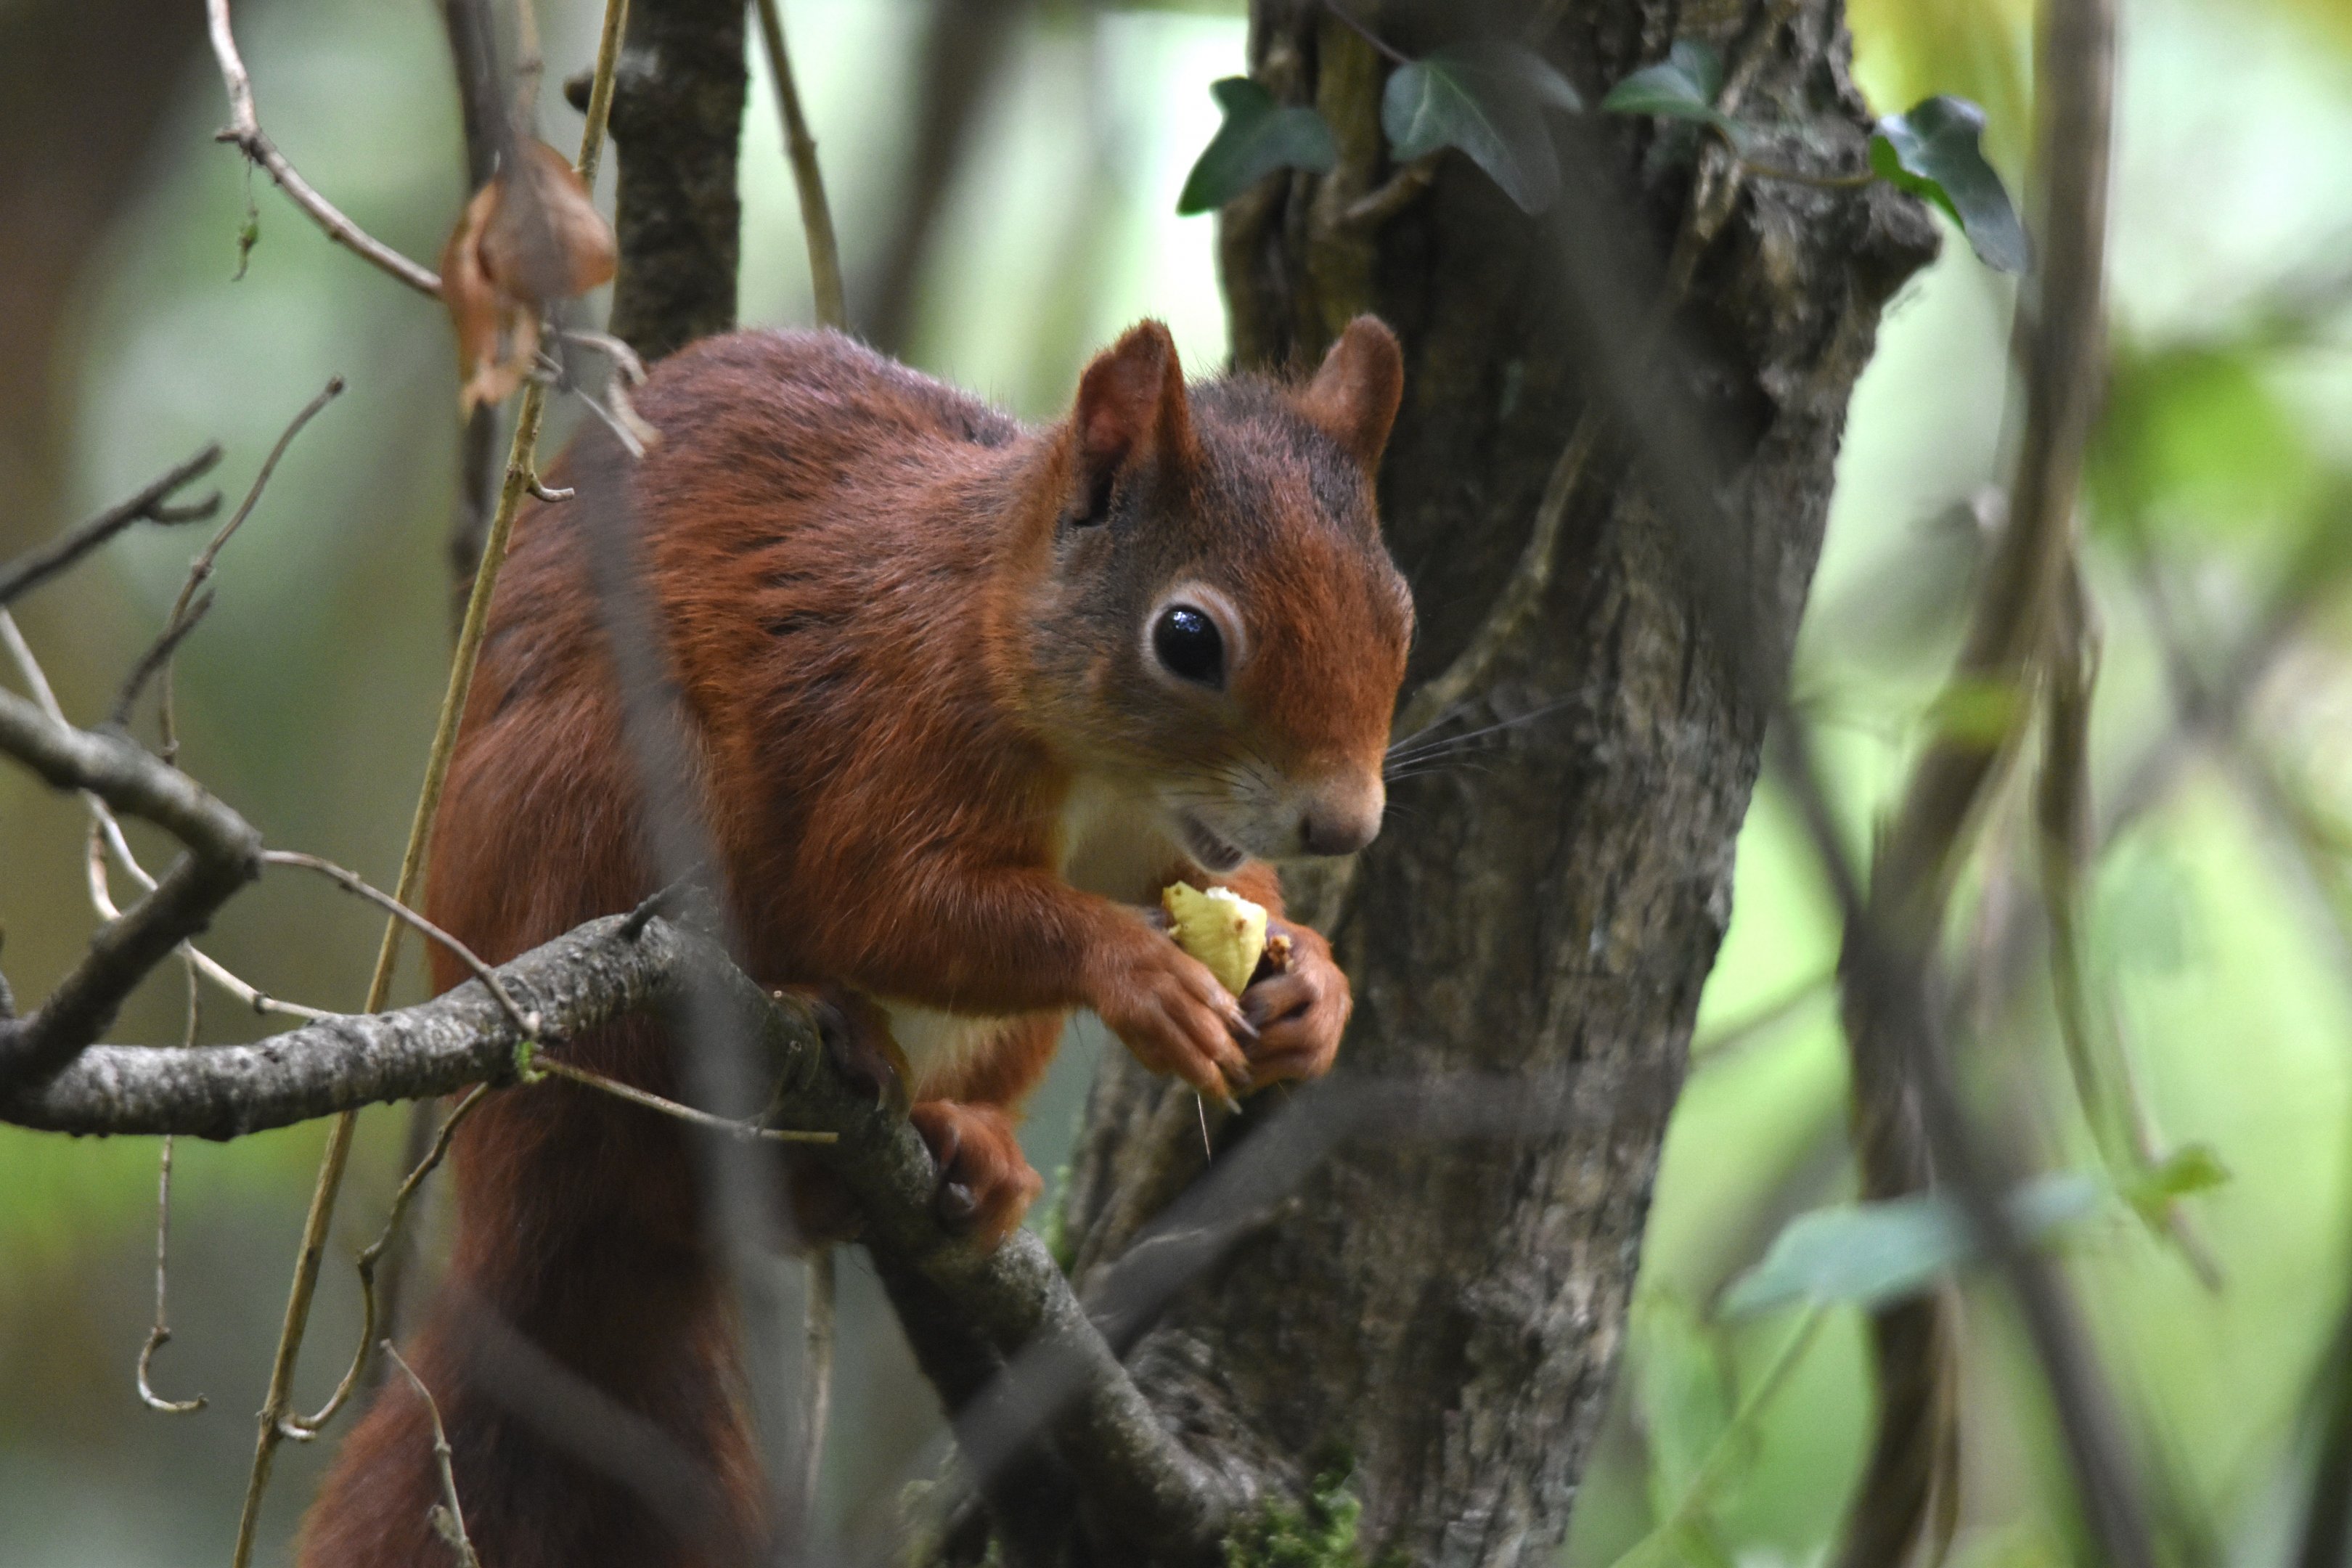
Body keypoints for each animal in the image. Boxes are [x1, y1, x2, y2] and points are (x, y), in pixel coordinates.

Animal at [296, 316, 1412, 1568]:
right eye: (1187, 638)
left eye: (1401, 608)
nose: (1348, 823)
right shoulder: (883, 719)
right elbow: (885, 899)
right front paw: (1142, 979)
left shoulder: (1171, 849)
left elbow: (1226, 887)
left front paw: (1313, 984)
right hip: (601, 803)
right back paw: (824, 1024)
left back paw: (968, 1144)